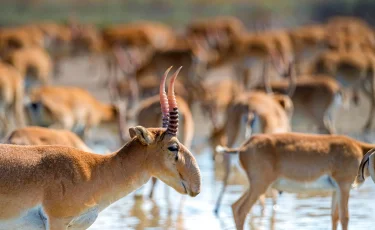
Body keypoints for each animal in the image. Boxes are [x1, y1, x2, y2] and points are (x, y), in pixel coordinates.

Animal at [216, 132, 375, 230]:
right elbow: (344, 217)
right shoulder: (344, 186)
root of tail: (243, 147)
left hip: (255, 186)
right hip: (260, 186)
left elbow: (334, 217)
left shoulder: (335, 190)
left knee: (235, 206)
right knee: (241, 210)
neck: (359, 149)